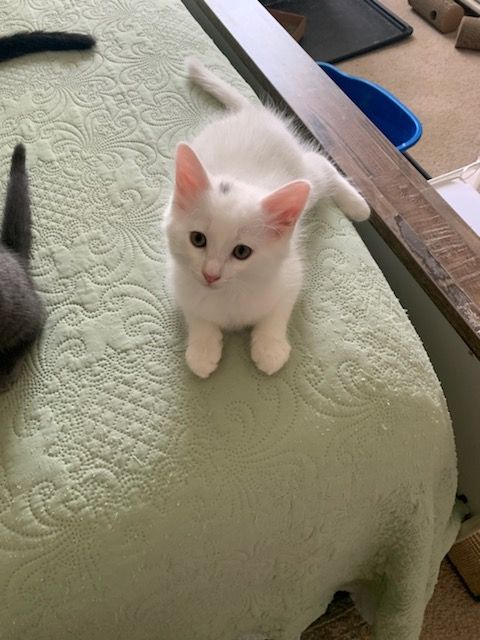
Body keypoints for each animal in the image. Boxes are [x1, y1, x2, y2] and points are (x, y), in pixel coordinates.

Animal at [163, 57, 370, 378]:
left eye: (242, 252)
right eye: (197, 239)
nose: (210, 274)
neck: (229, 295)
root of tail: (254, 114)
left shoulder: (289, 277)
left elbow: (277, 312)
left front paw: (269, 349)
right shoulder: (179, 282)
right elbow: (197, 315)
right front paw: (203, 350)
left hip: (306, 177)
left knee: (320, 164)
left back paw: (358, 205)